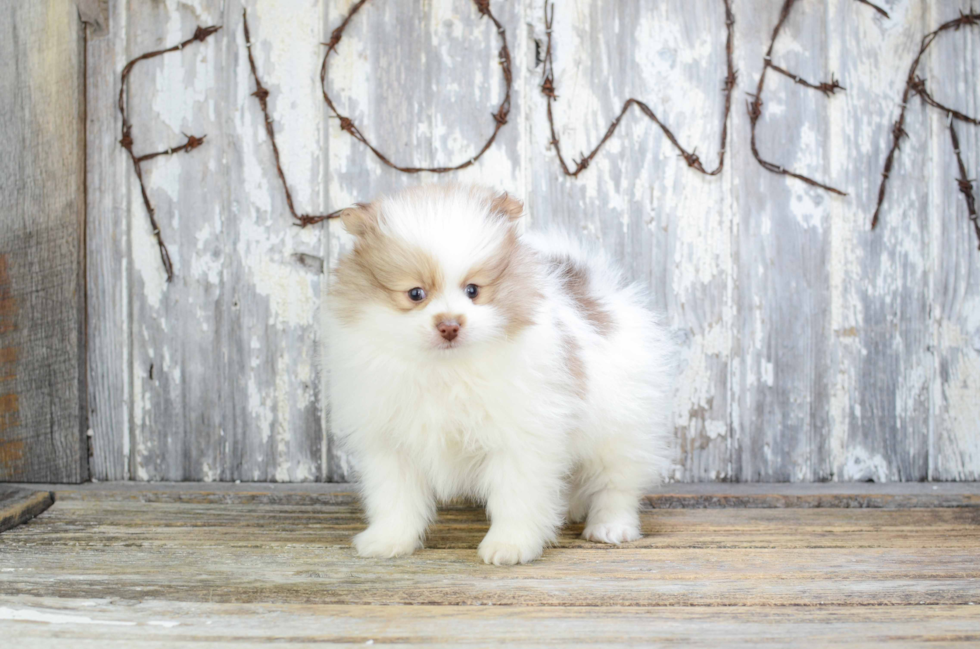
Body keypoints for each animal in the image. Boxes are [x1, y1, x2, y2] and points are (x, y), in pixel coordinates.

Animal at [326, 185, 676, 564]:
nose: (449, 325)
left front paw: (510, 545)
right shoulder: (390, 444)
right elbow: (395, 498)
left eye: (473, 290)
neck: (446, 369)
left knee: (616, 483)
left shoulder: (521, 438)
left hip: (620, 430)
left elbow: (515, 497)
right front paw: (388, 540)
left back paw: (610, 527)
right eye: (415, 293)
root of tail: (594, 291)